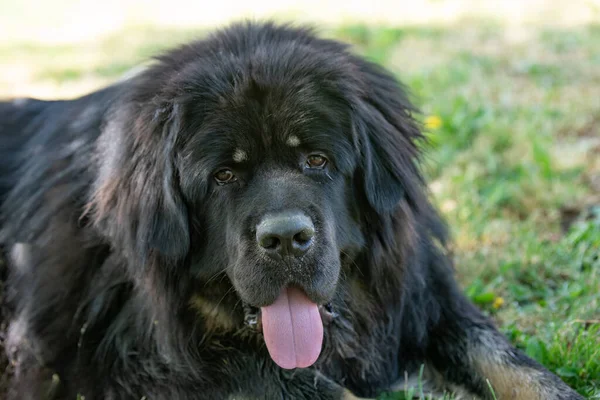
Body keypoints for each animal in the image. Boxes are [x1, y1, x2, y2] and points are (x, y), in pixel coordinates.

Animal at [0, 22, 580, 400]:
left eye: (316, 160)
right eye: (224, 176)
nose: (285, 238)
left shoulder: (425, 298)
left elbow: (513, 364)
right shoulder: (145, 366)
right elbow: (301, 384)